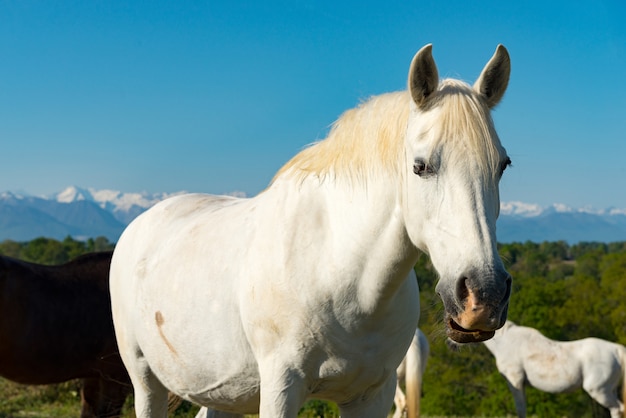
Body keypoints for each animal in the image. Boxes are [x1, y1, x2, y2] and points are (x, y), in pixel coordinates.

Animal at [109, 43, 510, 418]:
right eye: (421, 166)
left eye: (503, 165)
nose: (484, 296)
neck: (339, 273)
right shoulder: (282, 388)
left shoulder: (371, 394)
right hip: (145, 380)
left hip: (223, 394)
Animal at [482, 322, 624, 416]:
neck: (504, 342)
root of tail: (615, 349)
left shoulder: (515, 380)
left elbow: (521, 409)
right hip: (610, 389)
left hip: (599, 391)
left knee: (617, 409)